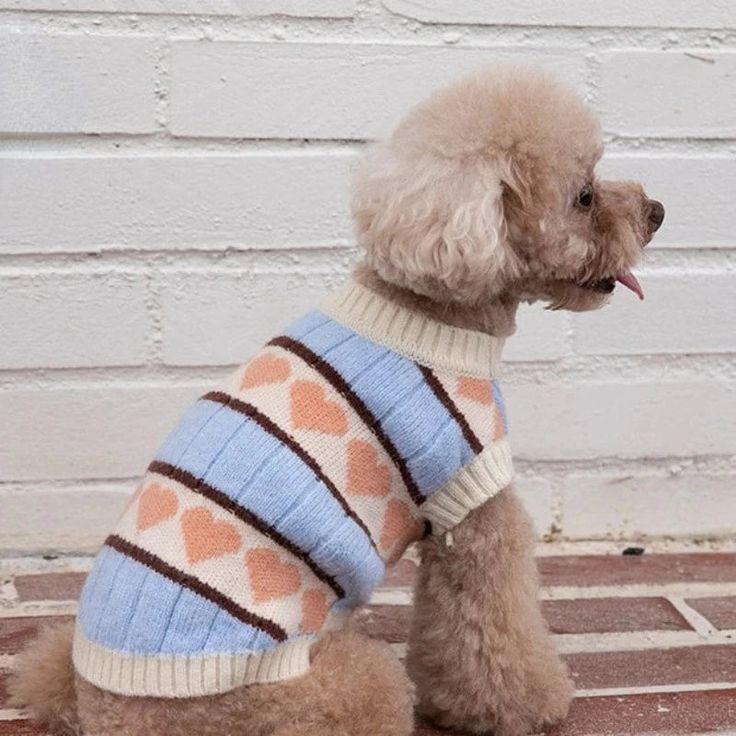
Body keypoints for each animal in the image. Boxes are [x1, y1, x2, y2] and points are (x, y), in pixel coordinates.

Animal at [10, 64, 668, 736]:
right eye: (583, 195)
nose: (658, 211)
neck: (430, 311)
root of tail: (105, 711)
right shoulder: (472, 500)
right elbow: (492, 627)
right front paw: (527, 703)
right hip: (330, 689)